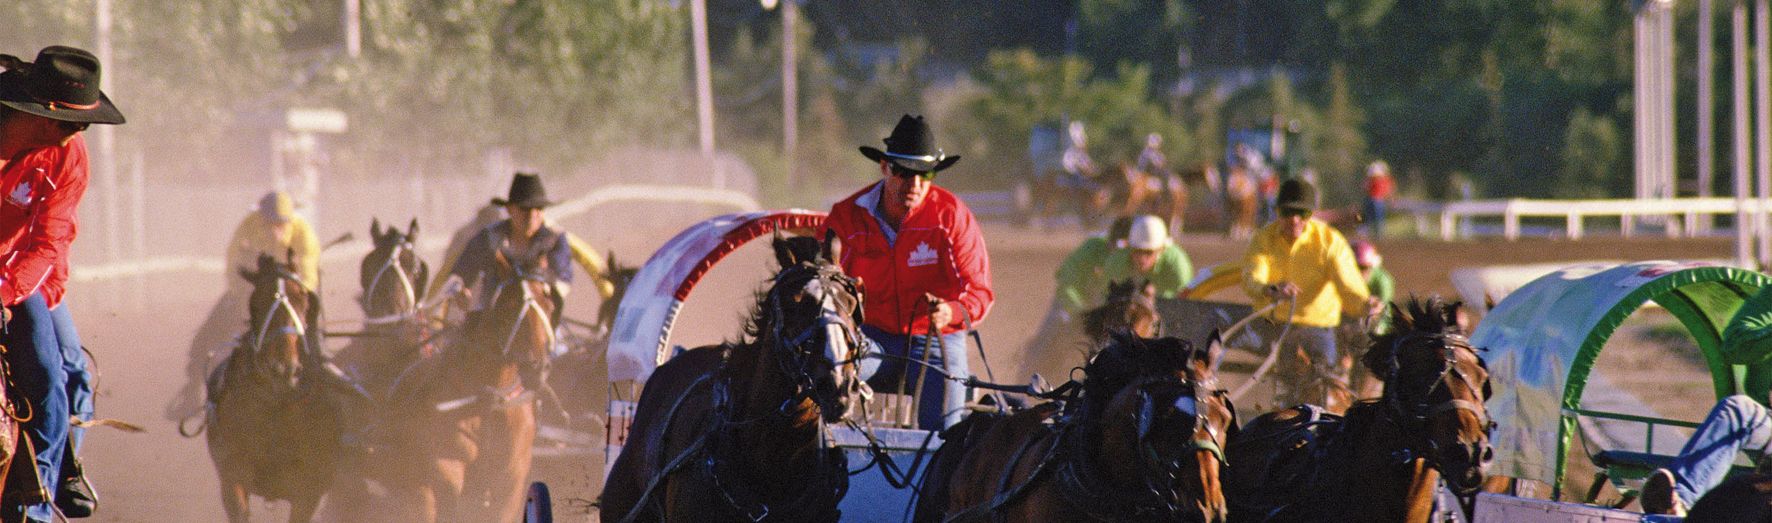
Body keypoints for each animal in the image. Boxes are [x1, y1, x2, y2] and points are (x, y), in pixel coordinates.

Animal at [205, 254, 343, 523]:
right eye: (257, 300)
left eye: (302, 298)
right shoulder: (232, 477)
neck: (276, 405)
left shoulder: (309, 490)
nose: (283, 368)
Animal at [378, 247, 561, 523]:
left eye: (548, 305)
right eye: (509, 308)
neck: (489, 400)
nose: (538, 368)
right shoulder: (442, 469)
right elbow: (447, 484)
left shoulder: (511, 482)